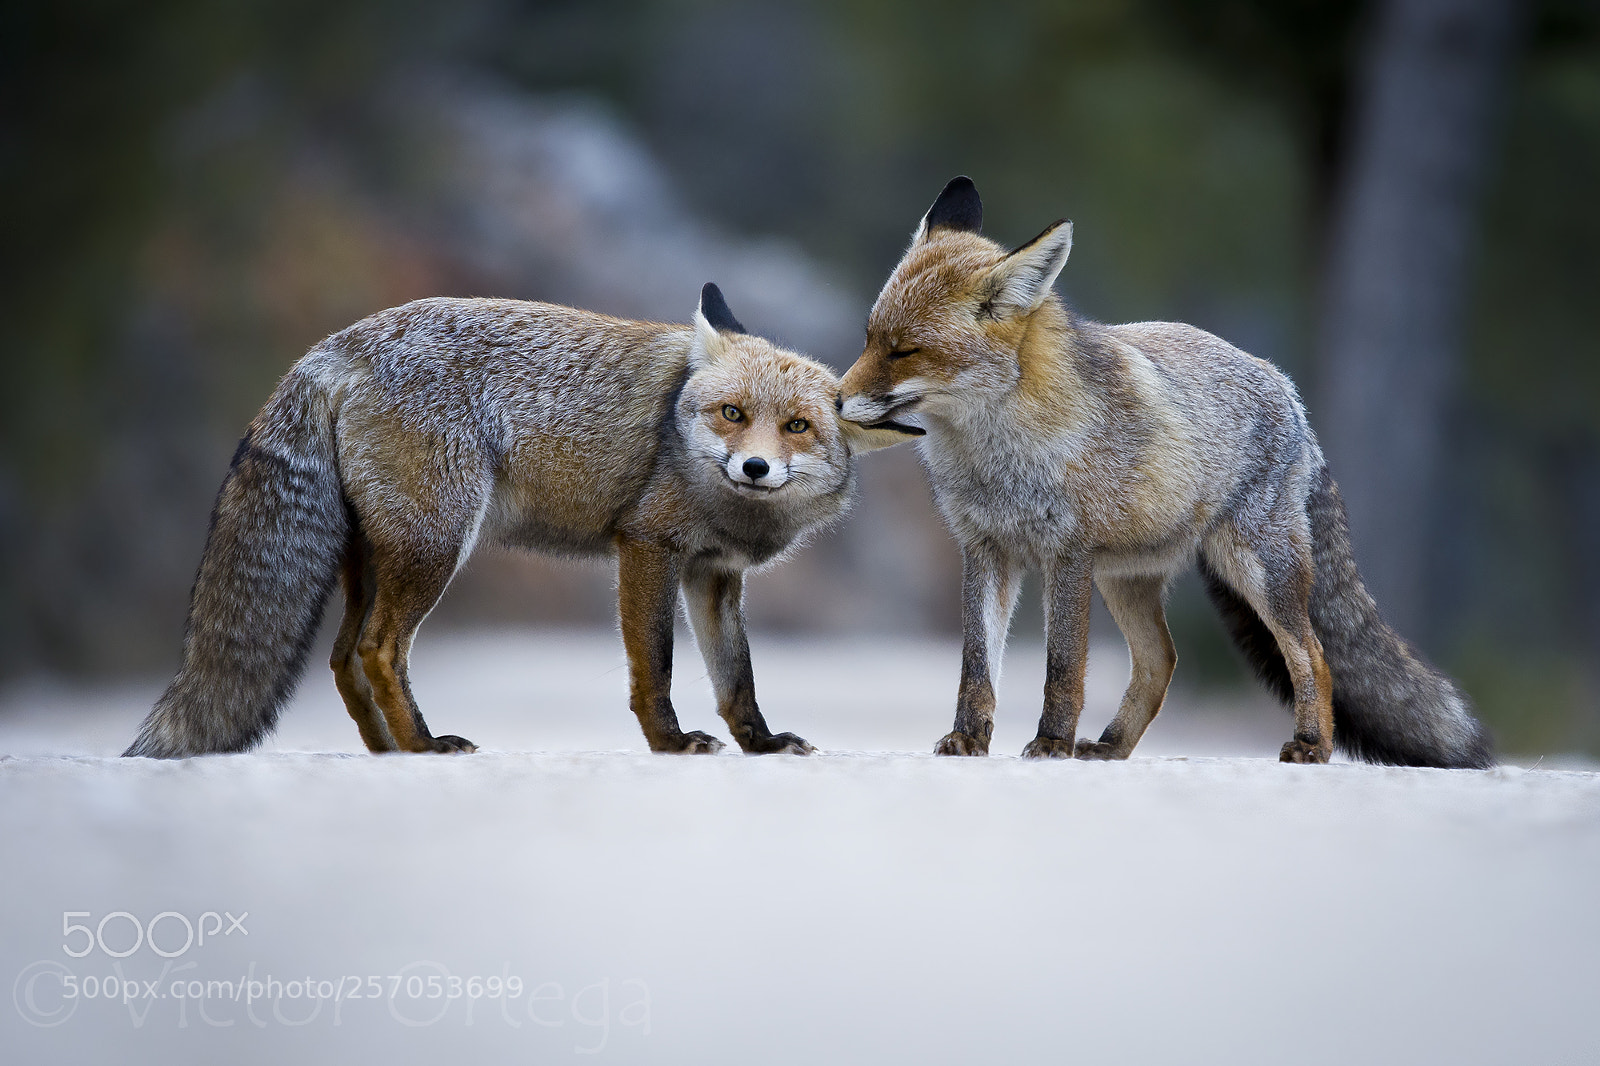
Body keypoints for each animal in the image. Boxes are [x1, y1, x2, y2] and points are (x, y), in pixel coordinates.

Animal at [125, 283, 913, 758]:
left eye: (798, 427)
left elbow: (737, 678)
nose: (753, 468)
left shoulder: (713, 577)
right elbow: (654, 667)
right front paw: (669, 743)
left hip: (377, 557)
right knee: (379, 650)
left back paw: (388, 753)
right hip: (435, 546)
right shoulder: (647, 546)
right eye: (733, 413)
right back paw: (425, 748)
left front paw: (762, 745)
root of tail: (337, 344)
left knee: (345, 658)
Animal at [839, 176, 1492, 768]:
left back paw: (1313, 745)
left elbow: (1062, 667)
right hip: (1126, 579)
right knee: (1162, 660)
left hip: (1257, 571)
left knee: (1313, 653)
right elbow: (976, 664)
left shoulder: (1067, 554)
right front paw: (969, 739)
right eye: (870, 338)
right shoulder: (985, 550)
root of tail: (1286, 388)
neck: (998, 457)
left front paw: (1050, 743)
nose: (838, 402)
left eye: (904, 351)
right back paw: (1110, 746)